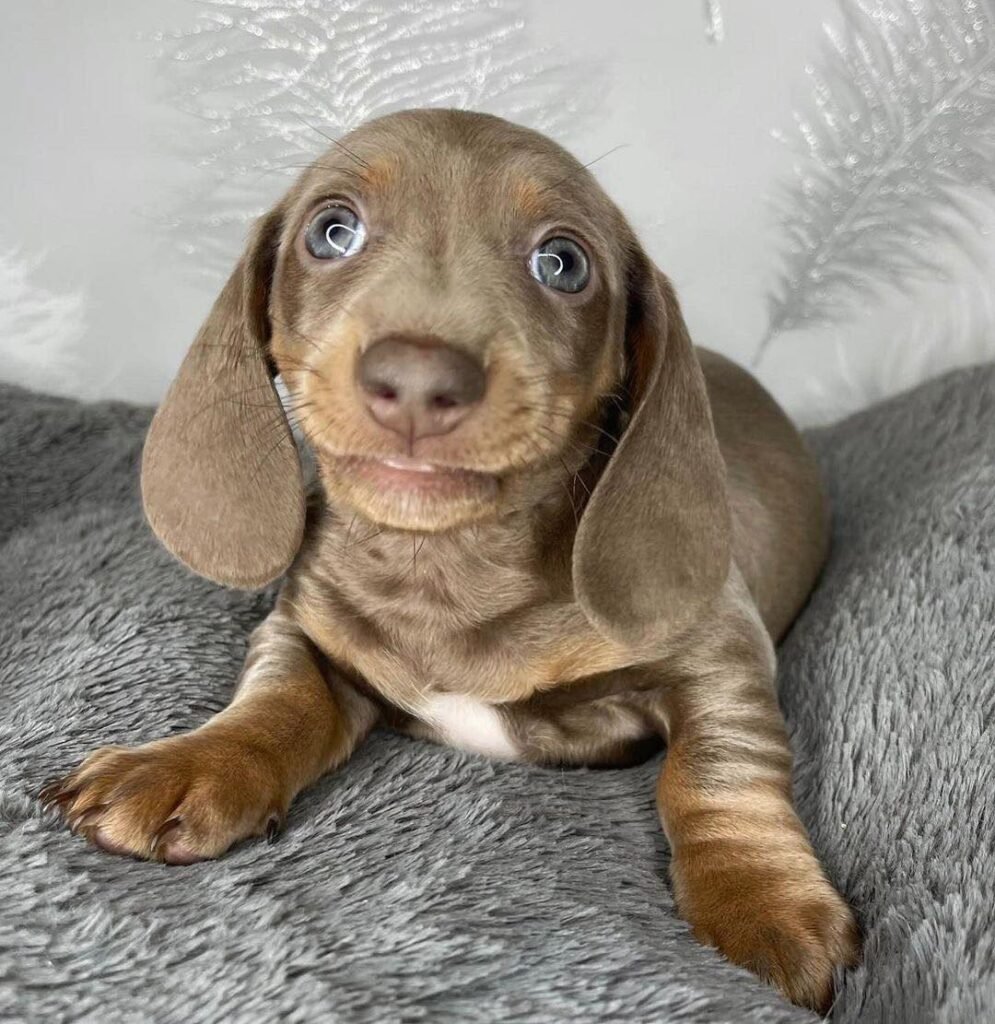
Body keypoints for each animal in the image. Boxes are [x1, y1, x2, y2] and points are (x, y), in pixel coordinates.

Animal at [42, 110, 859, 1007]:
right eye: (332, 231)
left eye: (561, 262)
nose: (416, 379)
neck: (444, 570)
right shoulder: (301, 627)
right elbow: (277, 699)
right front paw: (189, 763)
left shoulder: (720, 649)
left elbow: (716, 767)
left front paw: (758, 898)